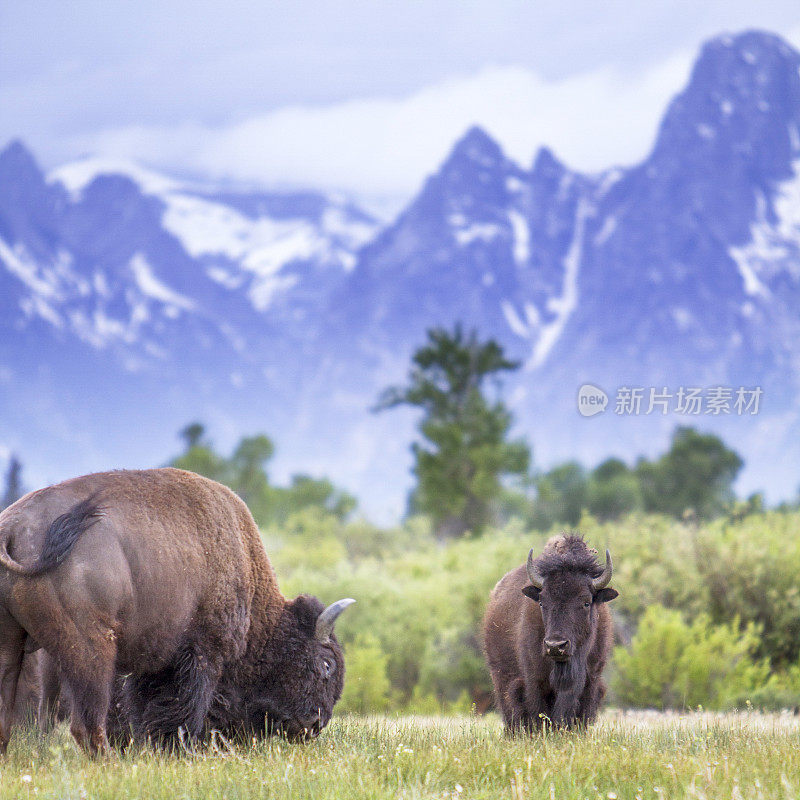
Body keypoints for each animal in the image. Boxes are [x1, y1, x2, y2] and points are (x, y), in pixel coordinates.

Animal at [0, 466, 354, 752]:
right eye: (326, 664)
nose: (314, 725)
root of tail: (12, 528)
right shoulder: (202, 653)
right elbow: (184, 709)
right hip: (90, 650)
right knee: (86, 725)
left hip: (13, 646)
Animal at [482, 536, 620, 732]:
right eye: (541, 601)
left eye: (586, 602)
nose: (555, 646)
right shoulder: (534, 679)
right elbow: (537, 710)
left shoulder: (590, 679)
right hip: (501, 675)